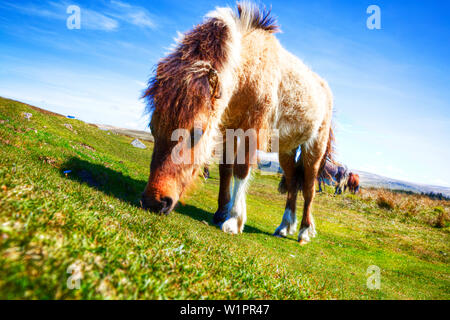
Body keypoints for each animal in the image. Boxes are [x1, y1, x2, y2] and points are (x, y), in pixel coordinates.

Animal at [141, 2, 334, 244]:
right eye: (152, 128)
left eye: (197, 133)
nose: (154, 201)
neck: (249, 68)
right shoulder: (227, 130)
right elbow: (226, 169)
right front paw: (221, 212)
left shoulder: (251, 130)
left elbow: (241, 170)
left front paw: (233, 220)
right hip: (287, 150)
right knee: (292, 182)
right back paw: (284, 227)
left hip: (314, 148)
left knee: (308, 187)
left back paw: (304, 231)